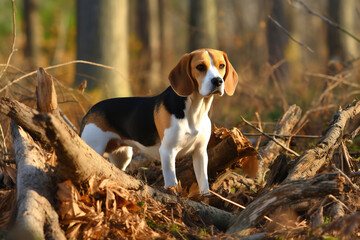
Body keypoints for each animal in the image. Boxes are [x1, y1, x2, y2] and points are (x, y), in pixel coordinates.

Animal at [82, 48, 239, 193]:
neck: (195, 110)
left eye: (221, 65)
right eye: (200, 67)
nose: (218, 81)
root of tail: (90, 110)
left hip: (123, 155)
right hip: (95, 147)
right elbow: (171, 181)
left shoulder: (200, 152)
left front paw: (205, 197)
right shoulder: (168, 151)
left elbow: (203, 181)